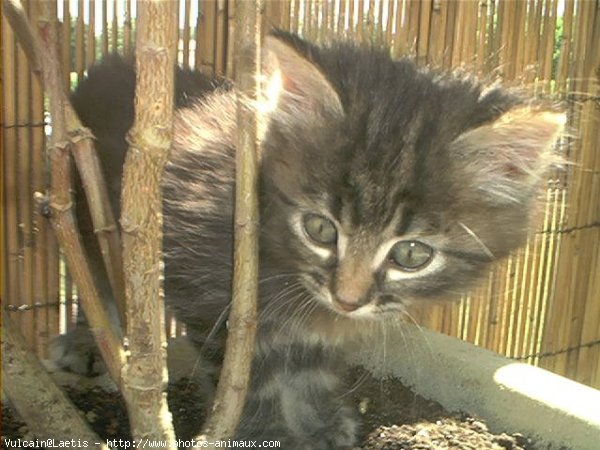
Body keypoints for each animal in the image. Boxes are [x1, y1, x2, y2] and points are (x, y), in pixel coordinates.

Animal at [55, 29, 564, 448]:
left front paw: (319, 424)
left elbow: (308, 369)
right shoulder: (210, 301)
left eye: (411, 253)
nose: (349, 299)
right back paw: (87, 344)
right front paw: (265, 433)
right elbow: (247, 380)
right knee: (97, 281)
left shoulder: (318, 330)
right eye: (320, 228)